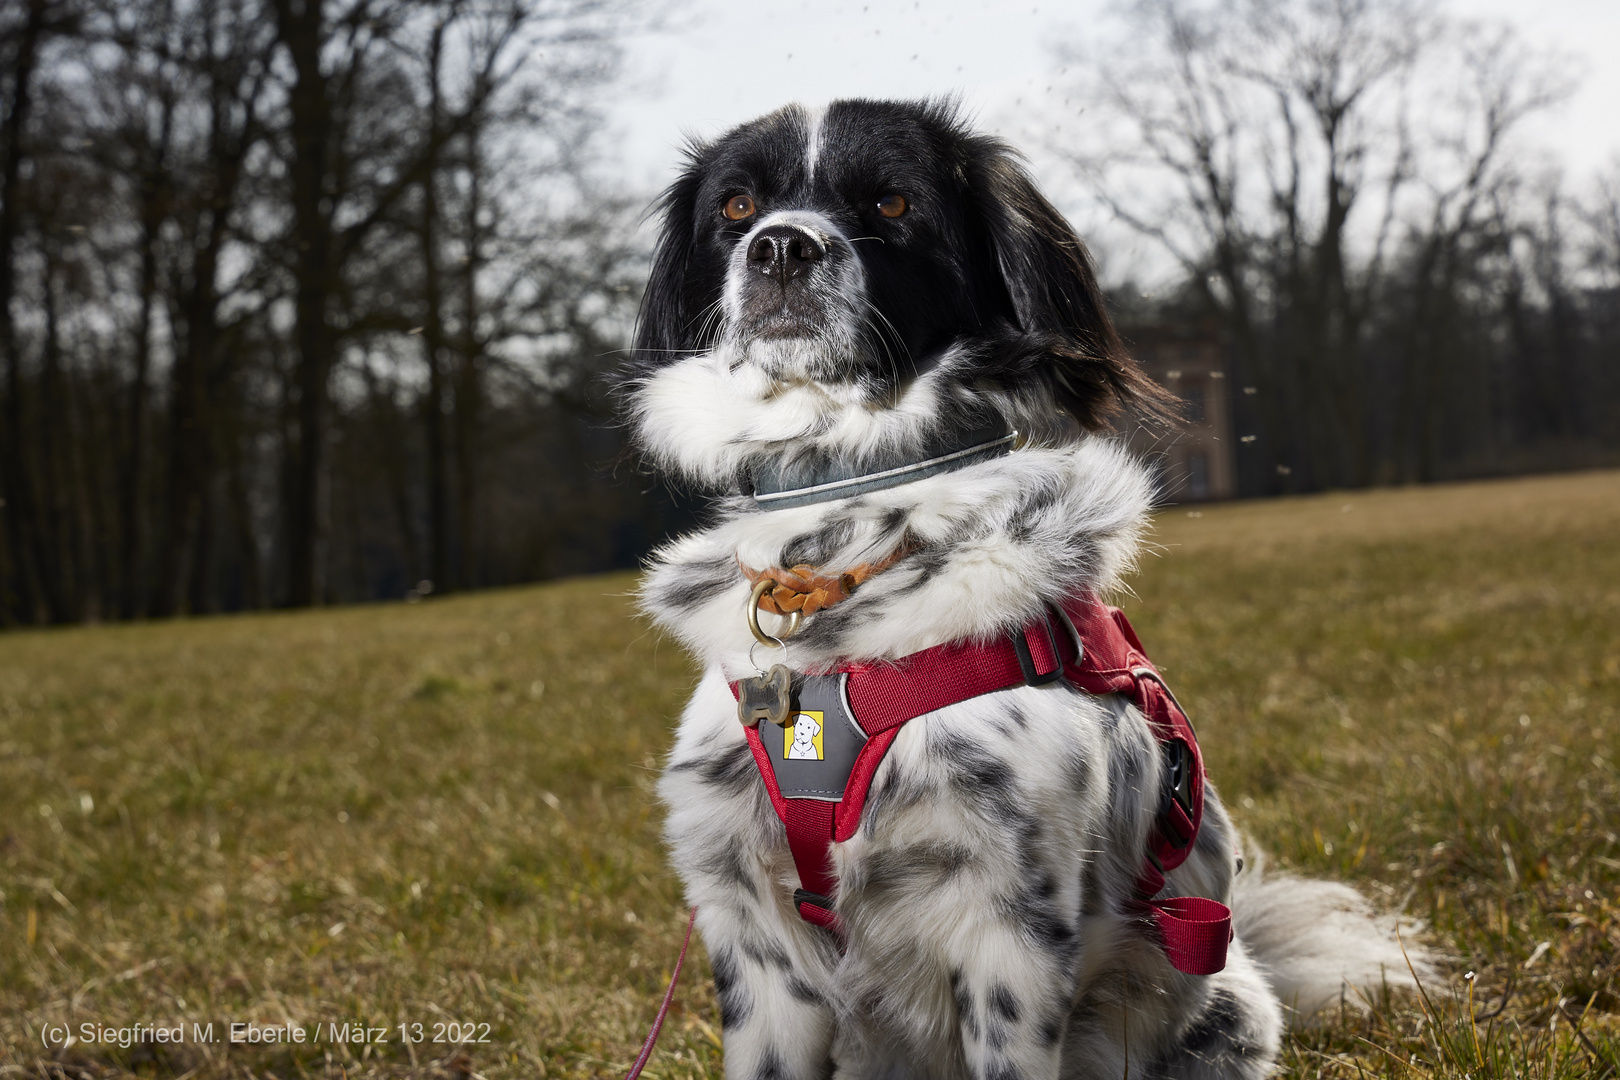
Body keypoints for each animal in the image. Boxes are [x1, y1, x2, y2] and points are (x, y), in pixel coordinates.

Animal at [625, 101, 1425, 1080]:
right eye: (737, 206)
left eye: (892, 201)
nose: (780, 247)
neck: (841, 540)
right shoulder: (753, 935)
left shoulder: (1011, 931)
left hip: (1221, 1016)